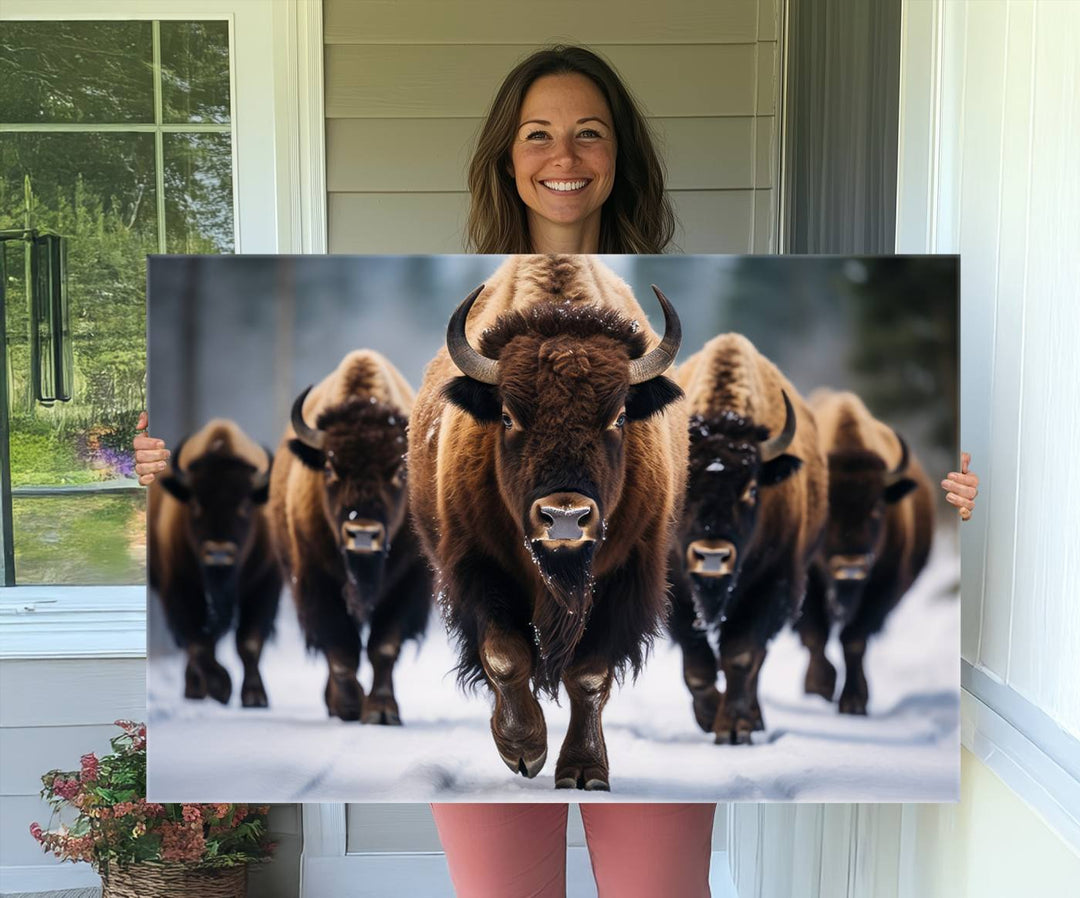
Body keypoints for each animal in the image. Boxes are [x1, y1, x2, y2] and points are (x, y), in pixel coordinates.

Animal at [149, 421, 280, 708]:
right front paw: (221, 687)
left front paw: (255, 697)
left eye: (245, 504)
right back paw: (196, 689)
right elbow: (198, 642)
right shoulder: (179, 589)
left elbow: (249, 642)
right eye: (196, 503)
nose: (219, 553)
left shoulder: (264, 585)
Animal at [272, 350, 432, 721]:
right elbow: (341, 649)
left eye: (399, 470)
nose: (362, 533)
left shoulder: (408, 583)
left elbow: (383, 646)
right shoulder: (317, 582)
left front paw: (382, 711)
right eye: (330, 468)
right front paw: (348, 706)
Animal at [408, 256, 686, 791]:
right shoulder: (478, 567)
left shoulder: (625, 576)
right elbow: (504, 656)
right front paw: (524, 750)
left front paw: (584, 771)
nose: (565, 518)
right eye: (508, 416)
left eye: (619, 417)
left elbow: (589, 676)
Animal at [665, 334, 825, 743]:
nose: (711, 556)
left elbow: (741, 656)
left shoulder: (770, 585)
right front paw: (709, 716)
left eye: (752, 489)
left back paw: (753, 718)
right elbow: (698, 664)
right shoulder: (677, 591)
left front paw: (734, 728)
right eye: (685, 484)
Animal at [794, 389, 937, 713]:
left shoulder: (881, 588)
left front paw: (854, 701)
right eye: (827, 510)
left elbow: (854, 641)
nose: (851, 565)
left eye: (877, 508)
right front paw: (819, 687)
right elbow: (815, 635)